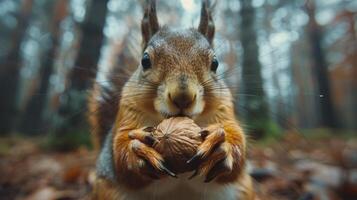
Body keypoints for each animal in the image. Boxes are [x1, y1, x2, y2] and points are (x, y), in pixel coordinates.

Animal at [89, 0, 256, 200]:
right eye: (145, 60)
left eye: (215, 64)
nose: (183, 97)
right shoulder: (127, 112)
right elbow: (120, 152)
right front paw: (137, 149)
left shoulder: (224, 109)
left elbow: (237, 143)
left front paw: (221, 145)